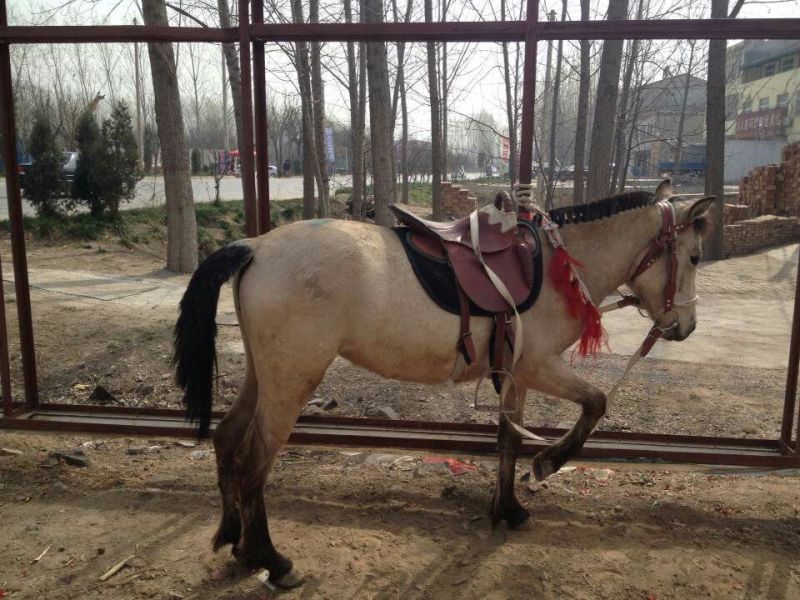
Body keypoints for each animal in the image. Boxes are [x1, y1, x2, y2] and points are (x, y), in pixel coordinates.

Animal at [173, 179, 714, 588]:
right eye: (693, 257)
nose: (685, 327)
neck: (560, 265)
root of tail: (256, 246)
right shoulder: (540, 366)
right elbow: (595, 405)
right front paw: (547, 464)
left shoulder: (515, 375)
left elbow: (508, 440)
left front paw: (509, 509)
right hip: (291, 382)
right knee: (252, 462)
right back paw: (271, 559)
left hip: (265, 375)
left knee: (227, 439)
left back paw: (234, 540)